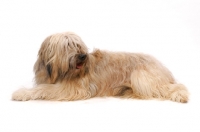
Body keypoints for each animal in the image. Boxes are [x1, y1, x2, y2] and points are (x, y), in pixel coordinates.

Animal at [12, 31, 189, 102]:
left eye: (78, 45)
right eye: (67, 45)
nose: (83, 56)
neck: (60, 73)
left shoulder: (73, 88)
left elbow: (44, 89)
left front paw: (20, 93)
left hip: (141, 76)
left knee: (175, 87)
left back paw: (181, 96)